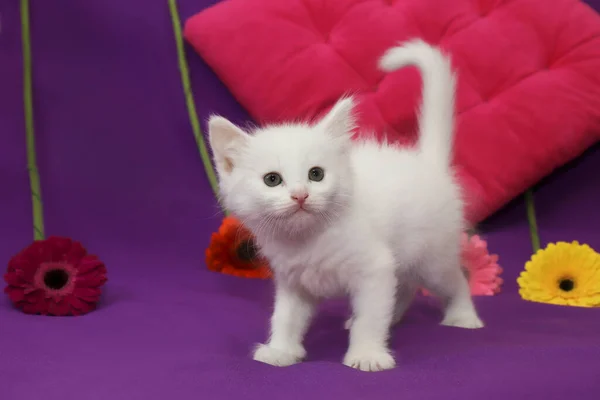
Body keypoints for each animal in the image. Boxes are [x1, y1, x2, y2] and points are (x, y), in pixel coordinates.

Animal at [206, 39, 482, 372]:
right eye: (272, 180)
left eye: (316, 174)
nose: (300, 195)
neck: (309, 240)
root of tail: (427, 163)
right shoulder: (293, 280)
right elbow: (285, 318)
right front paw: (280, 350)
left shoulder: (375, 267)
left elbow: (370, 317)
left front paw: (367, 354)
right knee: (404, 286)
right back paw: (394, 318)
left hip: (433, 258)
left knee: (456, 279)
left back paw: (463, 317)